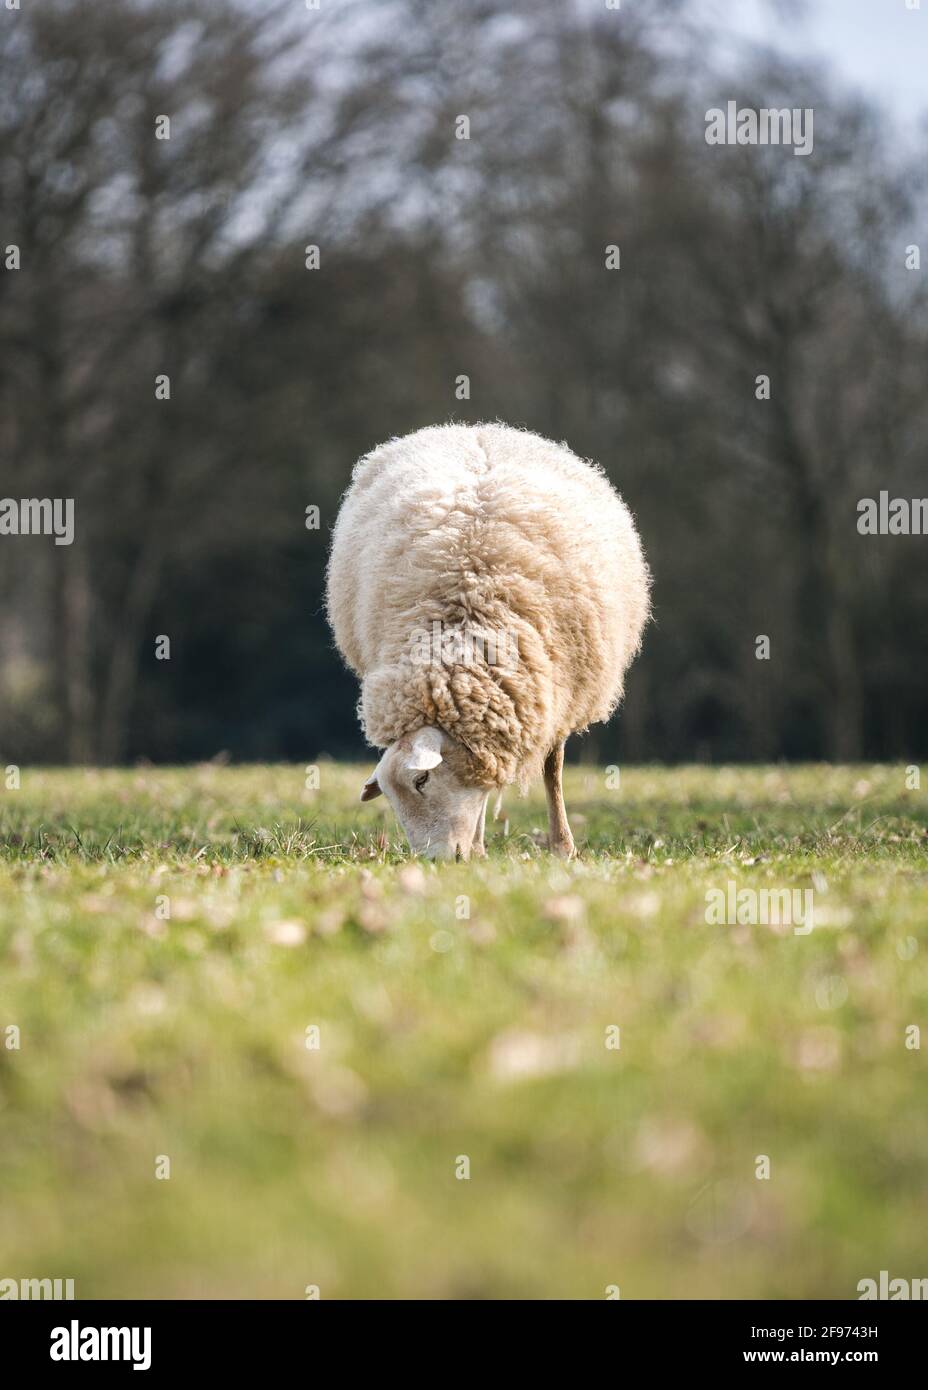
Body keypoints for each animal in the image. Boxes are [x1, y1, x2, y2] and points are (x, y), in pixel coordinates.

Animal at [325, 422, 650, 858]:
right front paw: (478, 848)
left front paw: (562, 846)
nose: (437, 861)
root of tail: (476, 428)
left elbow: (552, 769)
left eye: (421, 781)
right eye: (392, 799)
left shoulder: (557, 693)